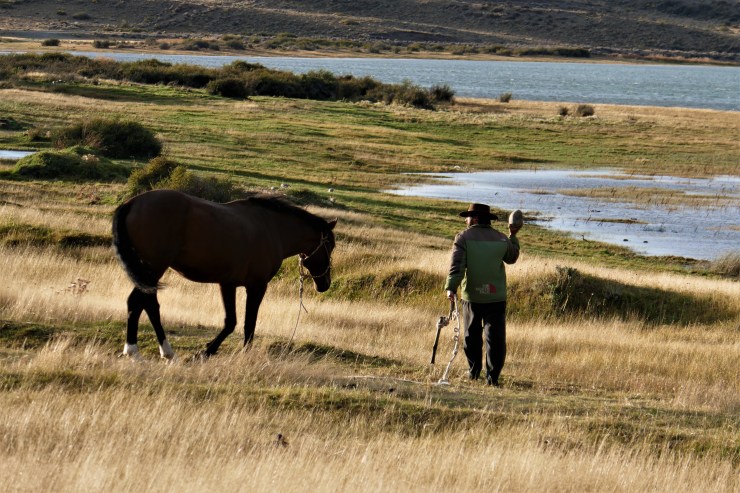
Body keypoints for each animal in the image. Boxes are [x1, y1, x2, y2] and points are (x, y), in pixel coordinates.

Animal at [112, 189, 337, 360]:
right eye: (330, 246)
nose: (324, 284)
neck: (272, 227)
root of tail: (132, 203)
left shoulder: (227, 284)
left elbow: (231, 322)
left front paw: (208, 350)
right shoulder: (257, 286)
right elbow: (247, 323)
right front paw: (229, 352)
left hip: (148, 272)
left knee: (142, 303)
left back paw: (144, 351)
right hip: (153, 269)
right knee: (143, 303)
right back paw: (152, 351)